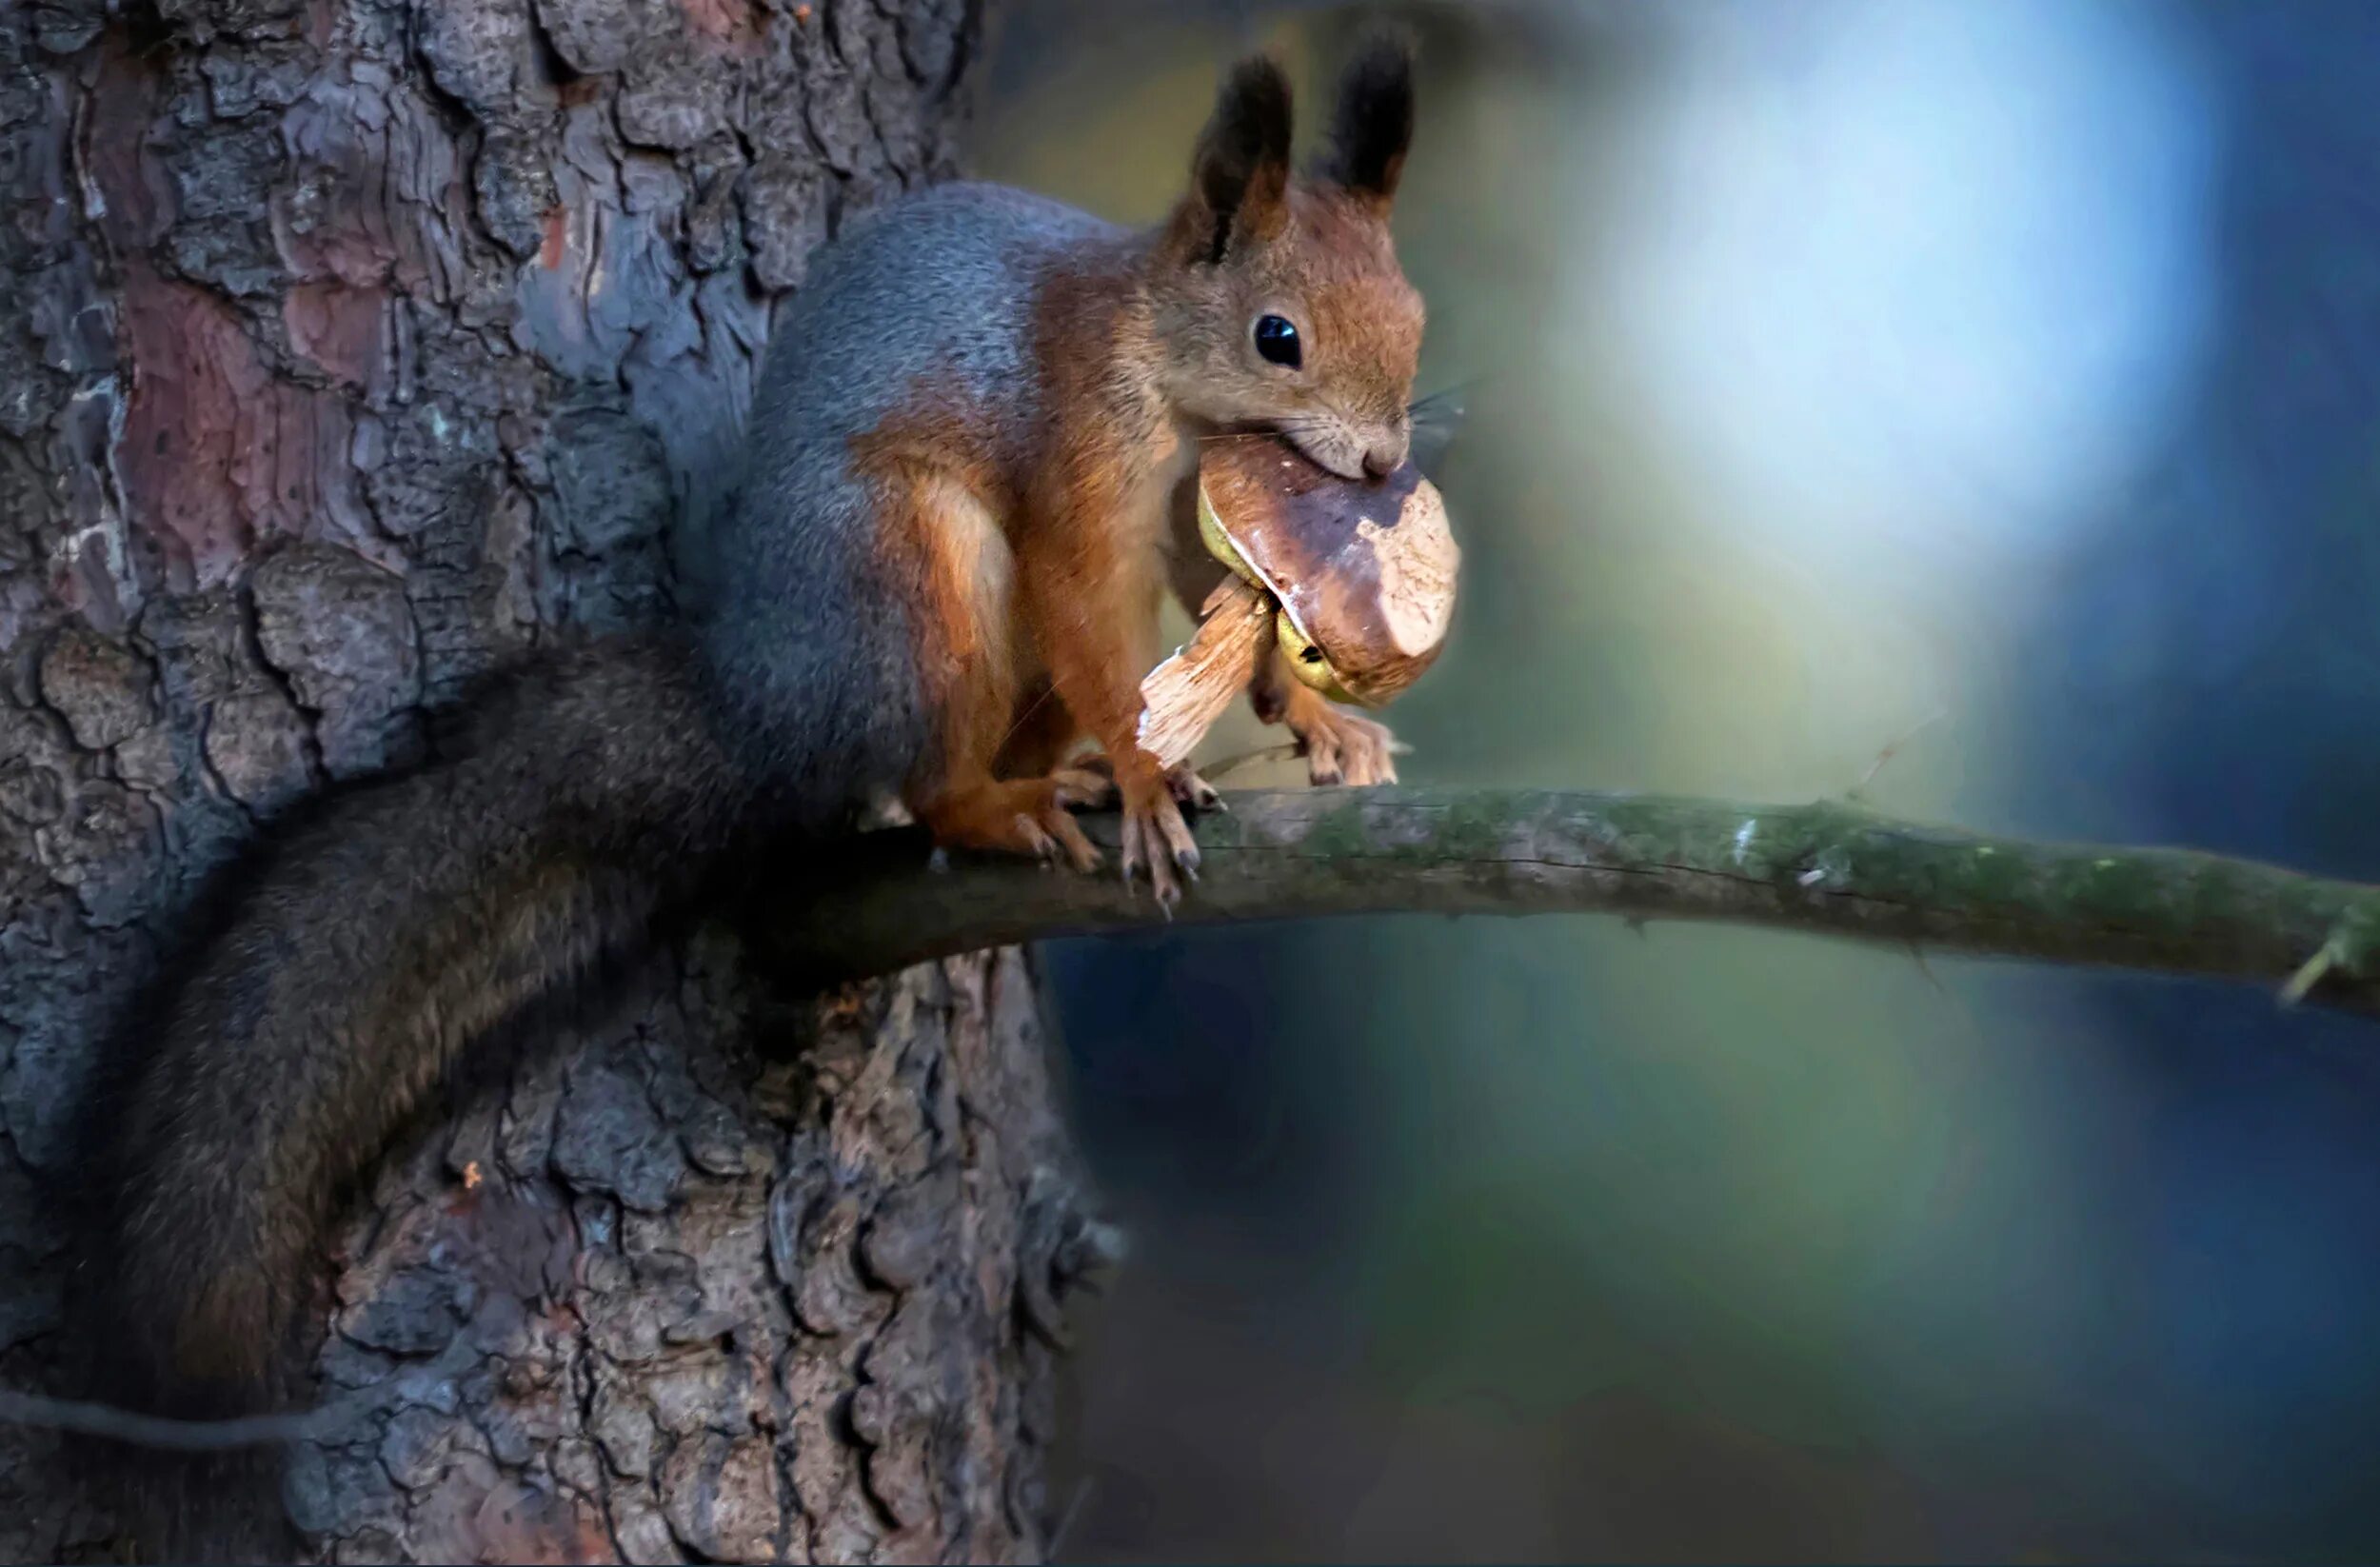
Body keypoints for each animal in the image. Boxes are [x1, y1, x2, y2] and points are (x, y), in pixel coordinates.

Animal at [74, 30, 1418, 1552]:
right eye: (1276, 336)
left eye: (1412, 316)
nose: (1382, 464)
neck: (1166, 373)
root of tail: (769, 698)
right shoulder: (1075, 449)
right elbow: (1088, 599)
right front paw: (1145, 775)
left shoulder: (1204, 513)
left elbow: (1226, 595)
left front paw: (1314, 717)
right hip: (914, 569)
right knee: (927, 765)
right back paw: (1005, 800)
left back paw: (1054, 773)